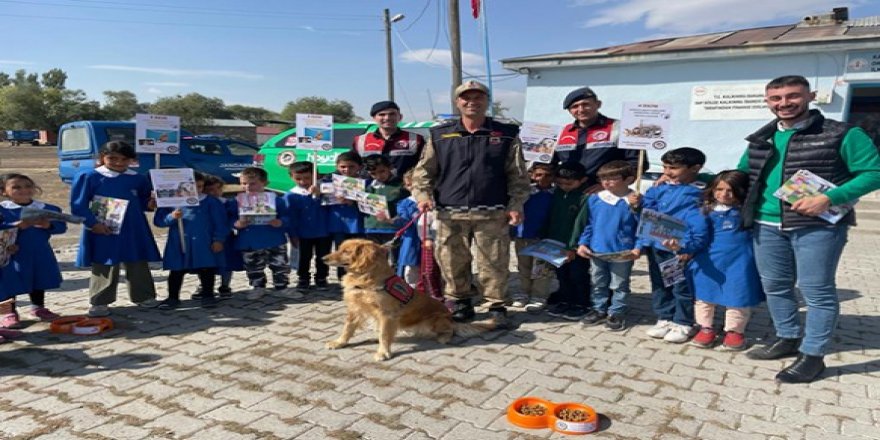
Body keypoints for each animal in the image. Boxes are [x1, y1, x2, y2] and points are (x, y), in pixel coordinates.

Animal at [324, 239, 502, 360]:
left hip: (436, 320)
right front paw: (339, 342)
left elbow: (384, 334)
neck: (366, 278)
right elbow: (348, 329)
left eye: (346, 252)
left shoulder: (387, 314)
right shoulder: (355, 309)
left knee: (450, 331)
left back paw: (443, 337)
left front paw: (383, 352)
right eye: (339, 248)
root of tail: (451, 318)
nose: (324, 258)